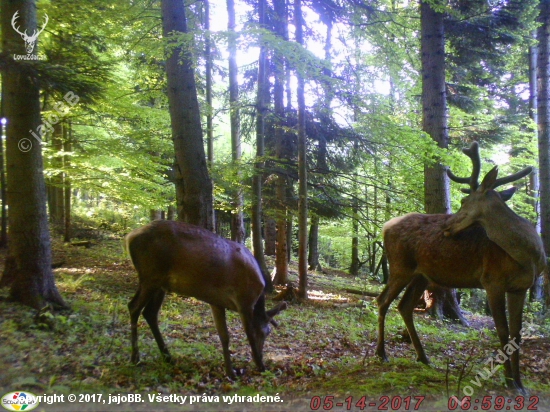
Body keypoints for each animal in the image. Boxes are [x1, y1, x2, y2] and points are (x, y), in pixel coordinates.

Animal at [126, 220, 288, 378]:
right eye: (267, 332)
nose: (260, 357)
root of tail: (129, 237)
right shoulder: (244, 302)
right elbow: (249, 335)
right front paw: (261, 366)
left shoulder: (217, 302)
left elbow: (224, 336)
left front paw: (231, 372)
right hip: (150, 276)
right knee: (133, 306)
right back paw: (135, 357)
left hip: (160, 284)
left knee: (150, 313)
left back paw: (168, 357)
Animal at [376, 142, 548, 392]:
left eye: (463, 202)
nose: (445, 226)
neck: (529, 257)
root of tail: (386, 226)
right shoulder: (491, 280)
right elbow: (503, 331)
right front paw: (509, 382)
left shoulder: (521, 287)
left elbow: (516, 334)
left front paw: (520, 383)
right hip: (400, 266)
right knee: (382, 301)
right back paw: (381, 353)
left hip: (422, 275)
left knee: (404, 306)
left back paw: (424, 357)